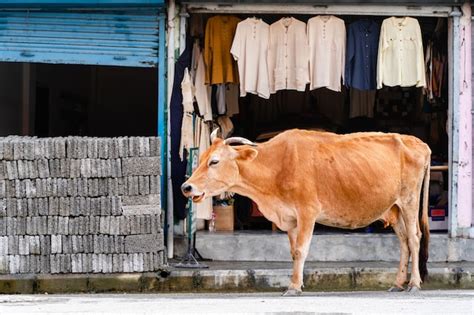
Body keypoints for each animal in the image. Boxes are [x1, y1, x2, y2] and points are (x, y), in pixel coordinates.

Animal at [181, 129, 430, 296]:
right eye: (201, 159)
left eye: (214, 161)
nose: (186, 187)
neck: (275, 167)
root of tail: (418, 142)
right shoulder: (290, 218)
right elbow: (293, 252)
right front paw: (297, 282)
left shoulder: (307, 212)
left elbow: (301, 250)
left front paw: (293, 287)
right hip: (393, 208)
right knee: (404, 242)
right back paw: (397, 283)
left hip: (409, 201)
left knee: (414, 238)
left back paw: (414, 284)